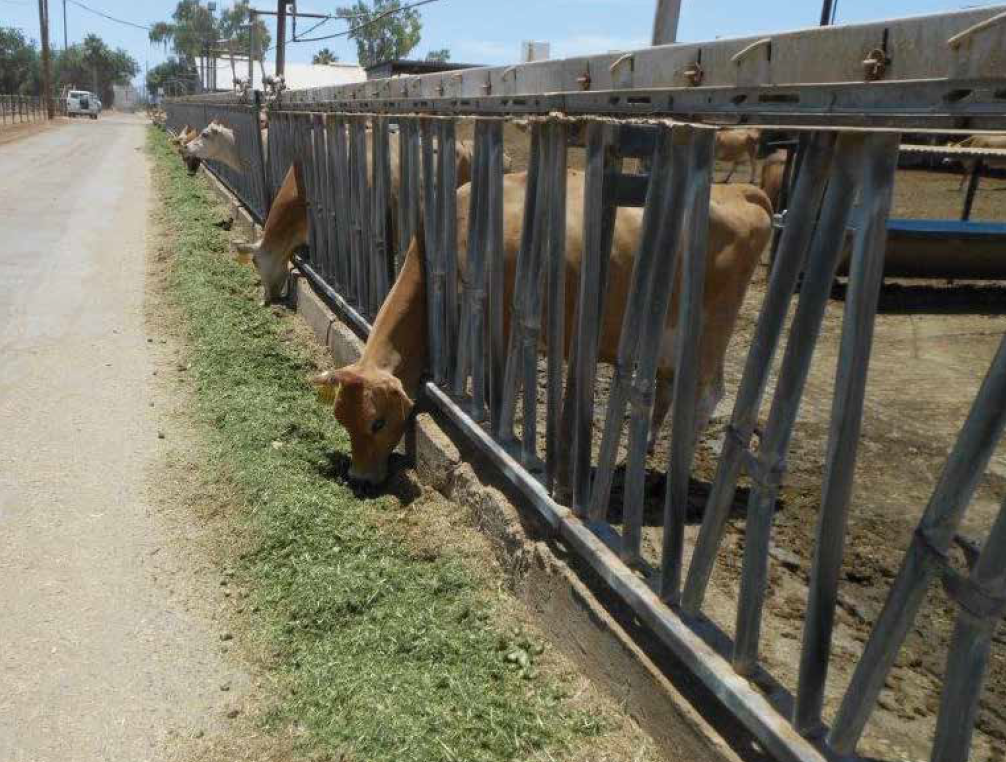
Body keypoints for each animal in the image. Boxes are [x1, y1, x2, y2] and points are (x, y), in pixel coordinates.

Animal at [313, 172, 768, 481]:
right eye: (341, 420)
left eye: (377, 423)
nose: (359, 478)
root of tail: (742, 191)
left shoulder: (502, 328)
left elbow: (499, 386)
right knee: (672, 388)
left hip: (710, 334)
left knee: (707, 398)